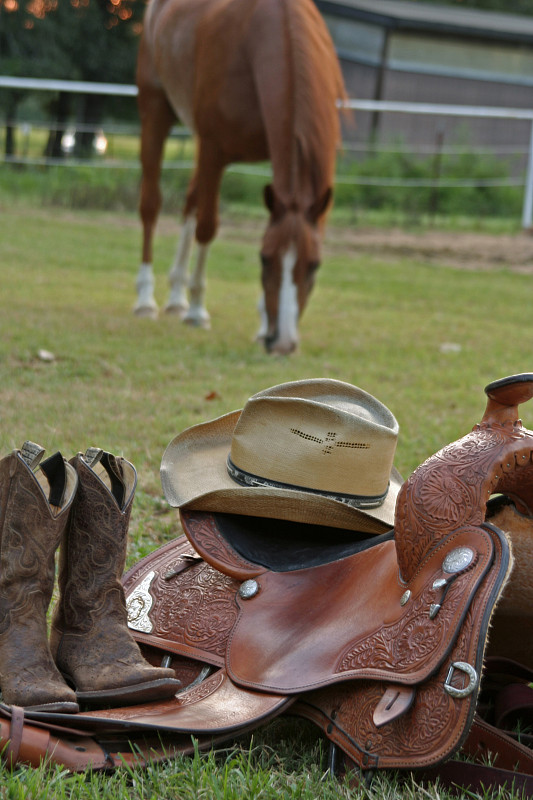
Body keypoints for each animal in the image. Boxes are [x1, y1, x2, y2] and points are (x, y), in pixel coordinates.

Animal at [136, 0, 344, 354]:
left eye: (314, 264)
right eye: (264, 260)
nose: (282, 343)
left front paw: (262, 328)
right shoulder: (213, 149)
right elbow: (207, 227)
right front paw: (197, 312)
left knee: (189, 203)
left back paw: (176, 297)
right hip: (155, 111)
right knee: (152, 205)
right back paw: (146, 300)